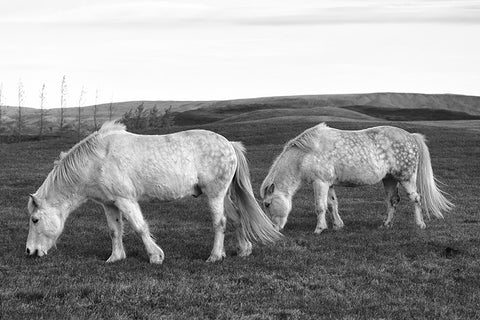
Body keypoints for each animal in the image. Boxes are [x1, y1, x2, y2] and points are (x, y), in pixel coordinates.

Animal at [25, 121, 282, 264]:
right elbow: (114, 231)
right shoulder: (109, 204)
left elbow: (139, 227)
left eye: (35, 219)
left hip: (215, 195)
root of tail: (229, 144)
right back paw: (243, 250)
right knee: (237, 218)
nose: (30, 251)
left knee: (220, 223)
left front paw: (155, 256)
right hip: (222, 195)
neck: (97, 160)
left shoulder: (126, 200)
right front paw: (115, 258)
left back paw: (215, 256)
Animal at [260, 124, 452, 234]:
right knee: (393, 200)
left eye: (267, 204)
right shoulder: (328, 184)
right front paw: (337, 225)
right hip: (389, 179)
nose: (274, 229)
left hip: (406, 177)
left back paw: (420, 224)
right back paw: (386, 224)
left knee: (415, 199)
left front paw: (319, 229)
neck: (305, 154)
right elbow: (332, 204)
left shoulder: (320, 183)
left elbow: (320, 207)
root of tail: (411, 136)